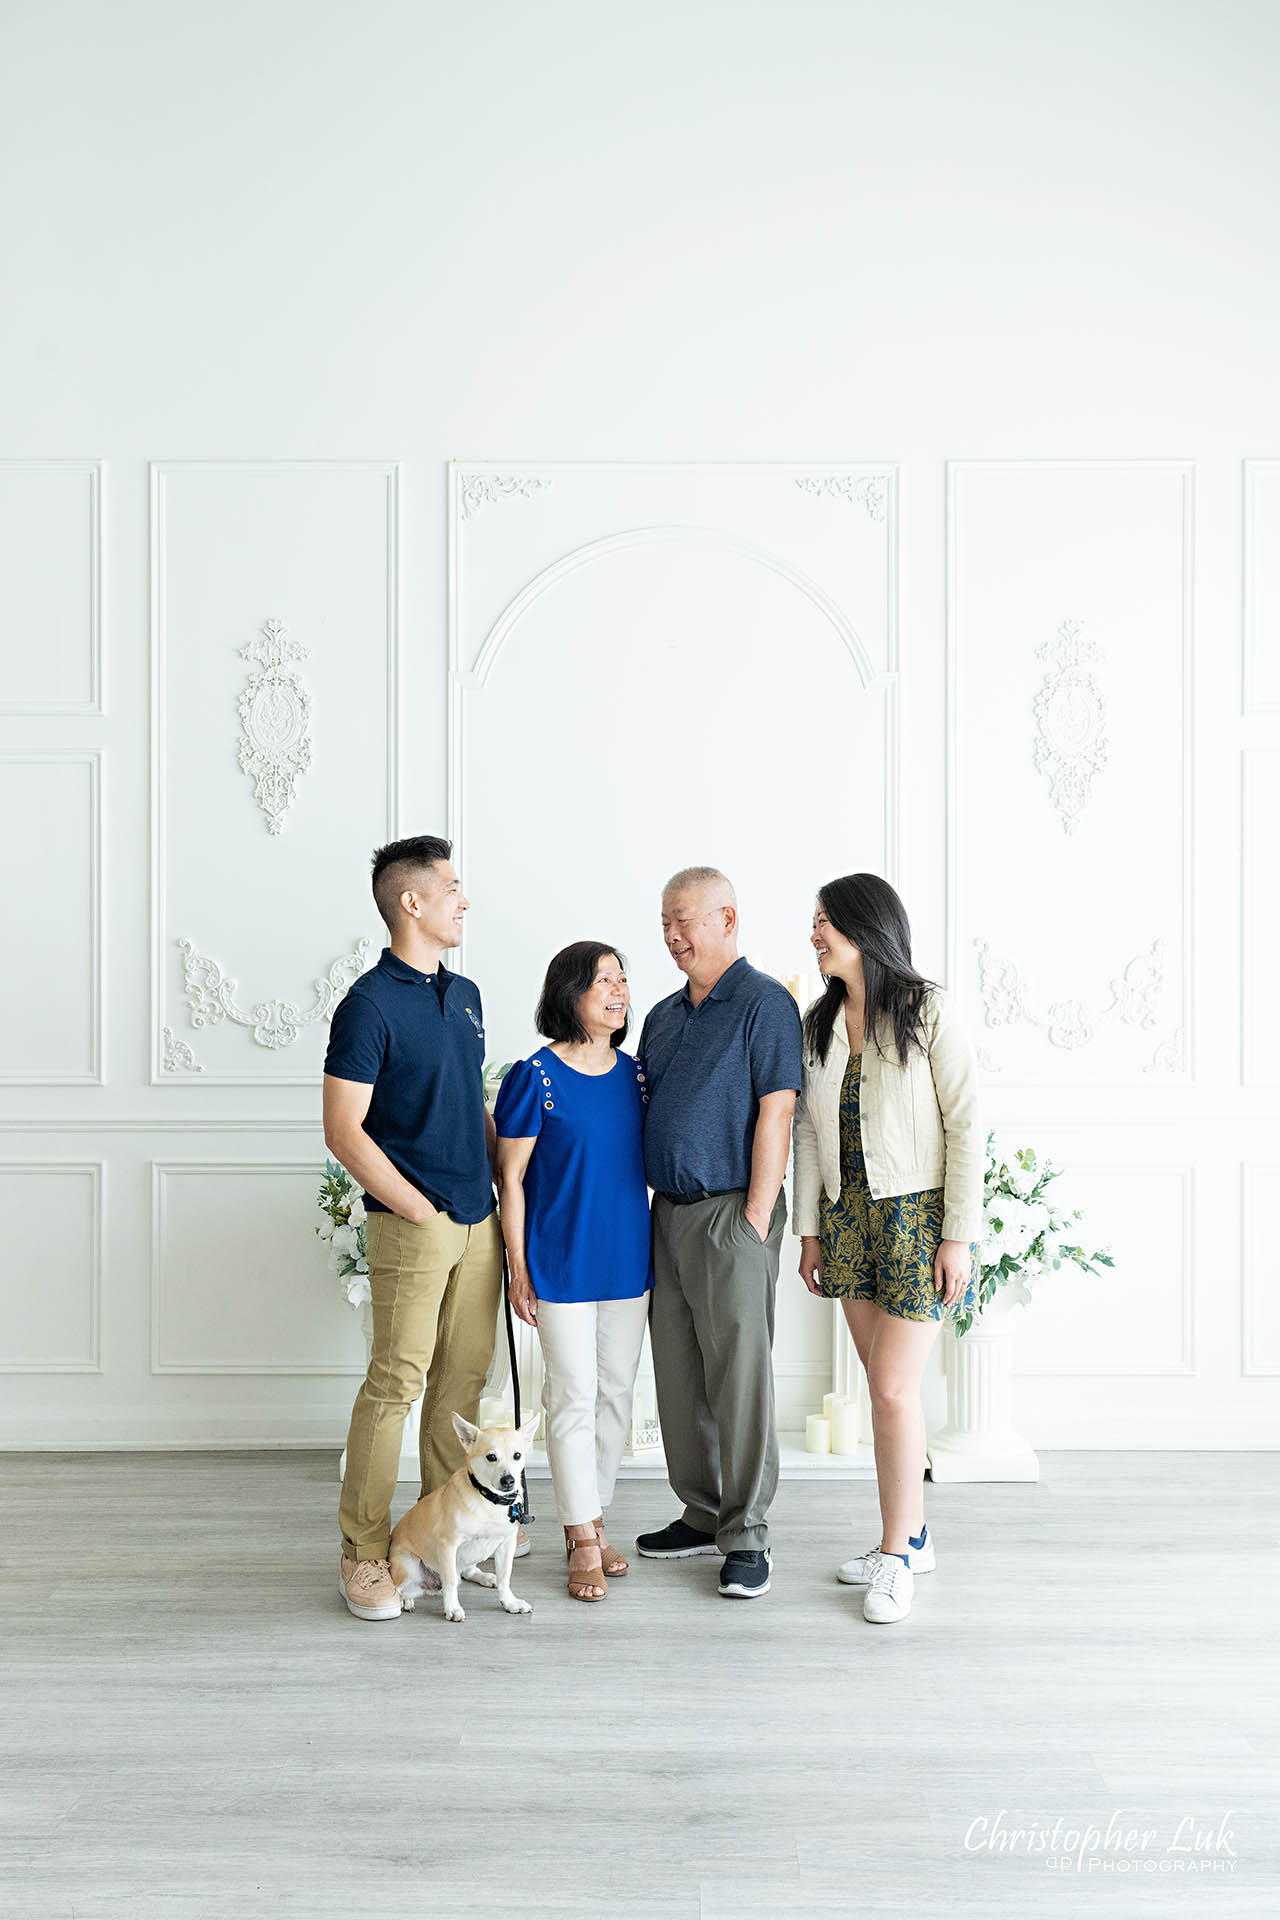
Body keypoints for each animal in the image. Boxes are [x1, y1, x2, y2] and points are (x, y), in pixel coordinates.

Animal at [385, 1413, 537, 1620]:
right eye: (491, 1457)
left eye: (517, 1455)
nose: (508, 1480)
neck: (489, 1501)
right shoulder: (448, 1545)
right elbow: (449, 1582)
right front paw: (452, 1608)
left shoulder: (507, 1545)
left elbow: (505, 1578)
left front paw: (510, 1602)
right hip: (408, 1563)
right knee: (399, 1588)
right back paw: (405, 1600)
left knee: (467, 1571)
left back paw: (486, 1577)